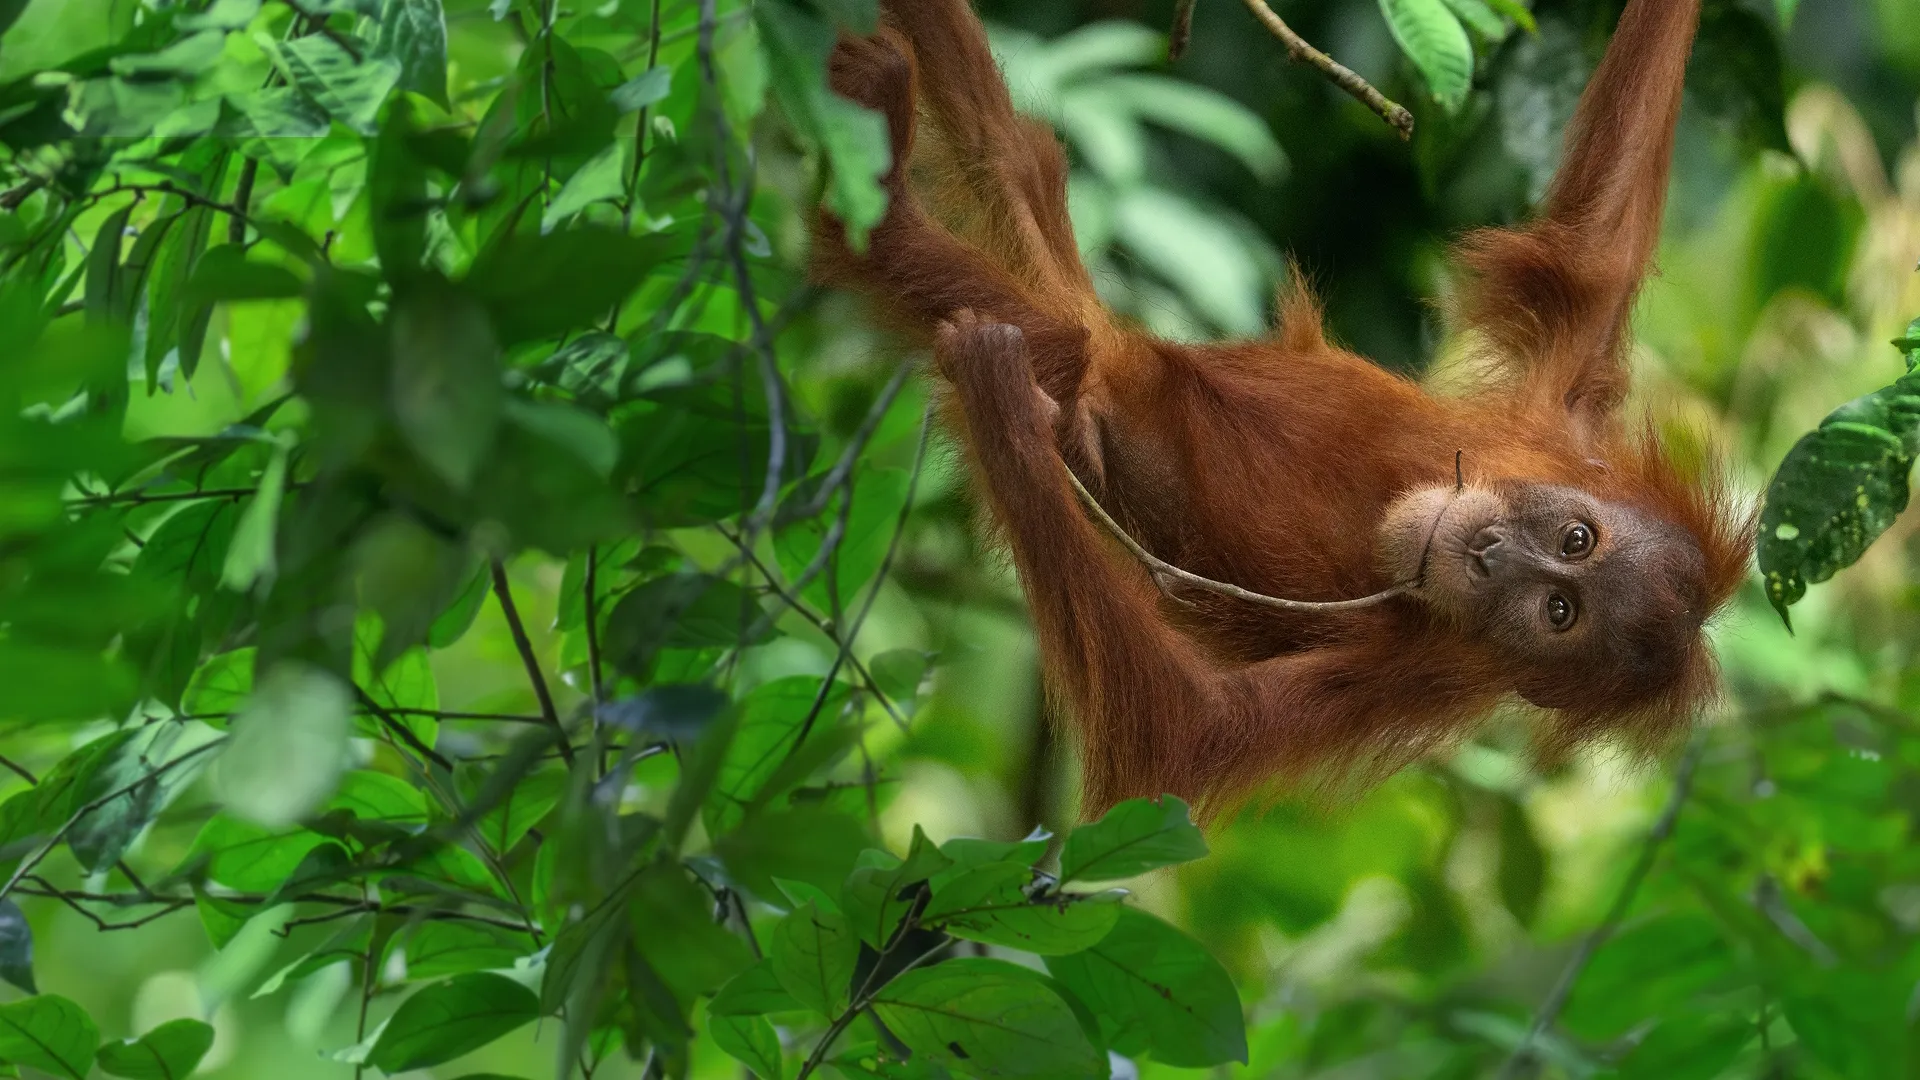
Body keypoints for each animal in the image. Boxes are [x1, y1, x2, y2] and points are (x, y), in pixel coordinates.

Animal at [814, 0, 1752, 814]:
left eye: (1560, 613)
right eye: (1575, 541)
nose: (1491, 551)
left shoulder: (1422, 674)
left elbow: (1195, 732)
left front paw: (1002, 408)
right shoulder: (1561, 422)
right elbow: (1602, 248)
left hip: (1072, 353)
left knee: (1043, 328)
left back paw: (883, 219)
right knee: (1015, 160)